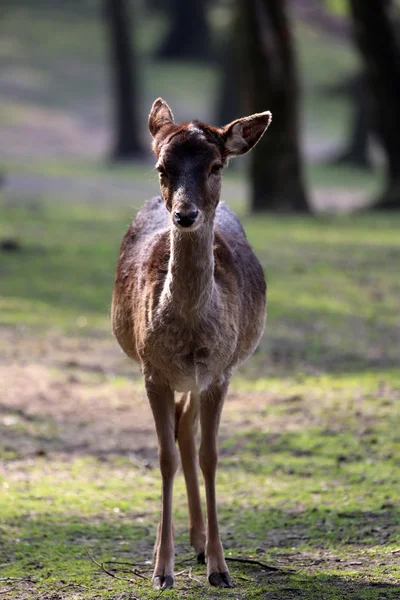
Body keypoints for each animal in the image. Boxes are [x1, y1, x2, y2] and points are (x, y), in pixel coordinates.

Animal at [111, 96, 270, 588]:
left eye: (216, 165)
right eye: (162, 167)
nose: (184, 214)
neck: (188, 335)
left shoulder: (219, 371)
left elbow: (210, 456)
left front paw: (220, 567)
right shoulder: (152, 370)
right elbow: (164, 457)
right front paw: (161, 570)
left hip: (208, 375)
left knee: (188, 431)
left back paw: (200, 544)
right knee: (179, 433)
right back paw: (176, 547)